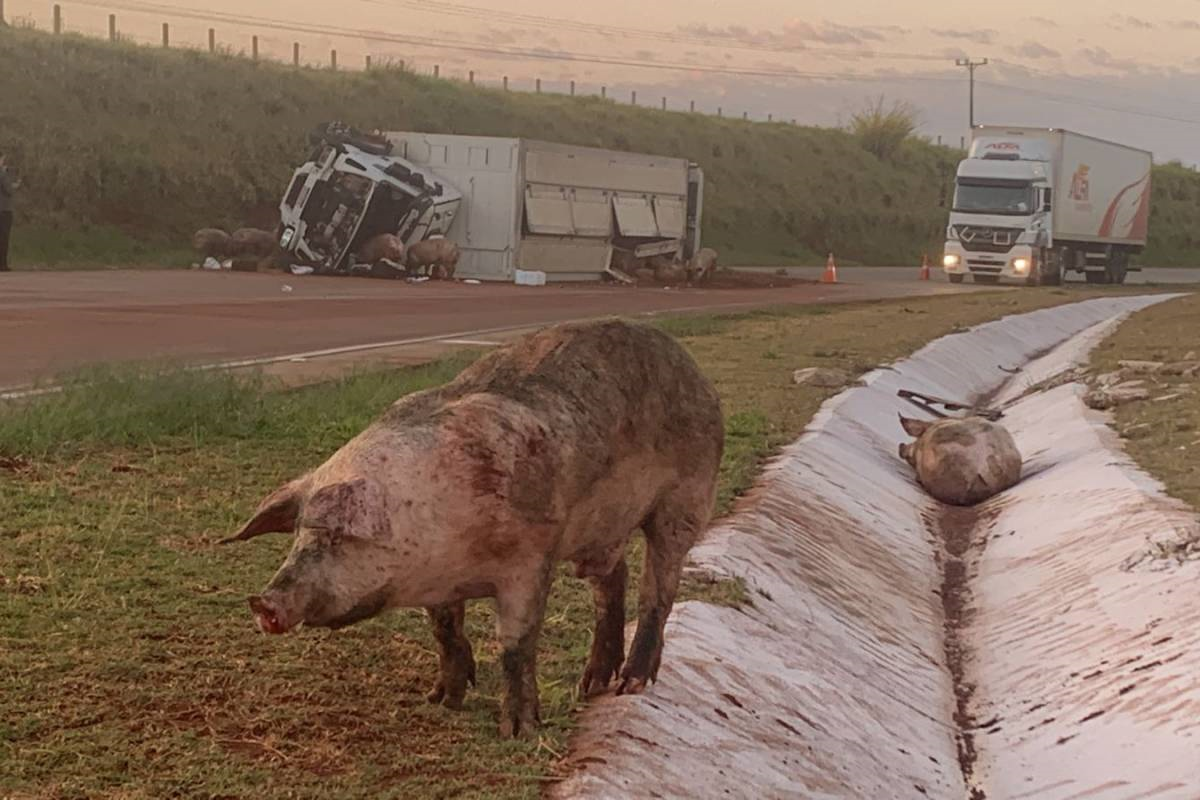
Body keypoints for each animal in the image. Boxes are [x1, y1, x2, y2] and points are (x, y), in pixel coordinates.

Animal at [223, 319, 724, 738]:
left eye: (338, 537)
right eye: (298, 534)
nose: (264, 602)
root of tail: (698, 373)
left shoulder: (531, 558)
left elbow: (516, 644)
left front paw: (518, 731)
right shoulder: (440, 580)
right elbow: (444, 629)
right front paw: (442, 700)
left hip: (685, 500)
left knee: (658, 591)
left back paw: (630, 685)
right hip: (600, 530)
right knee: (612, 581)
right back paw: (592, 685)